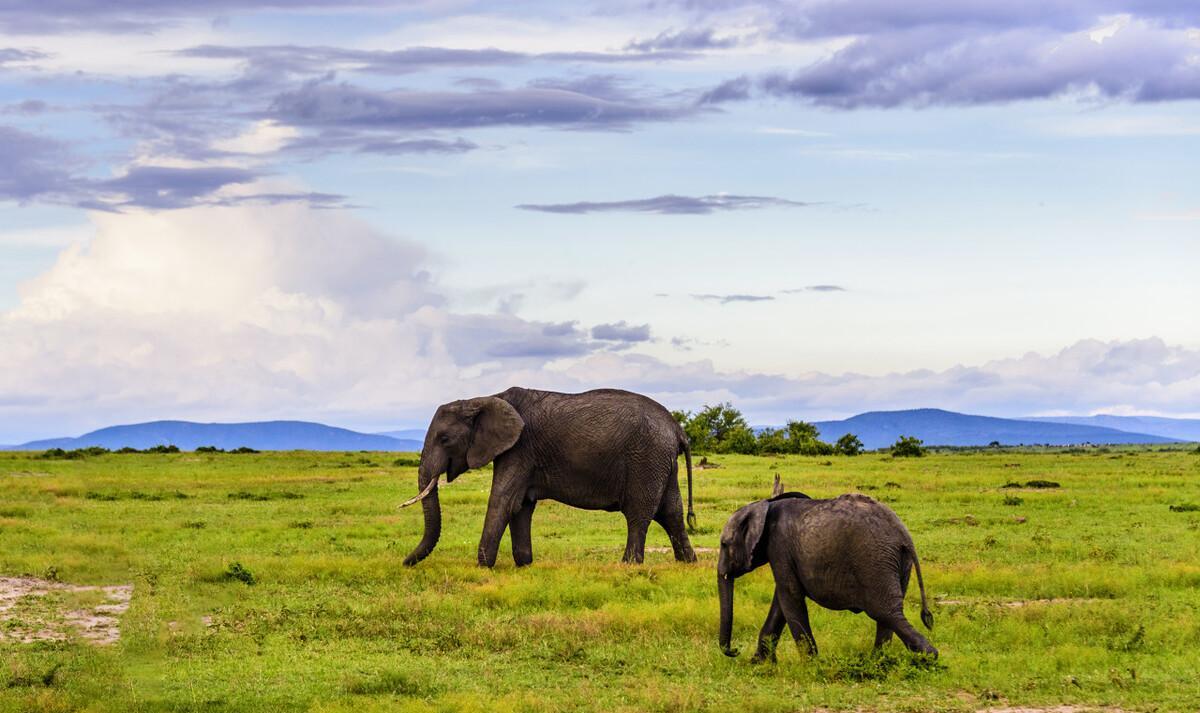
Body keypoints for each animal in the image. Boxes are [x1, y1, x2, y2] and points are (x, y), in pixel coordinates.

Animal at [398, 386, 700, 564]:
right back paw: (688, 563)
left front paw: (483, 566)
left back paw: (628, 566)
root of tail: (677, 429)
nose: (404, 563)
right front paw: (524, 564)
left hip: (646, 459)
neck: (482, 399)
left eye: (445, 439)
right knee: (671, 512)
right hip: (661, 461)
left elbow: (502, 501)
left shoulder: (520, 448)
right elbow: (520, 505)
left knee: (639, 514)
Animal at [710, 492, 936, 657]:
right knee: (888, 615)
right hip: (897, 563)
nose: (735, 651)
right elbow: (781, 601)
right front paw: (759, 663)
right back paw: (878, 662)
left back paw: (927, 658)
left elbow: (789, 596)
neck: (763, 506)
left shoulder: (779, 546)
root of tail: (904, 535)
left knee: (885, 612)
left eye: (724, 544)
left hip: (874, 561)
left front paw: (811, 665)